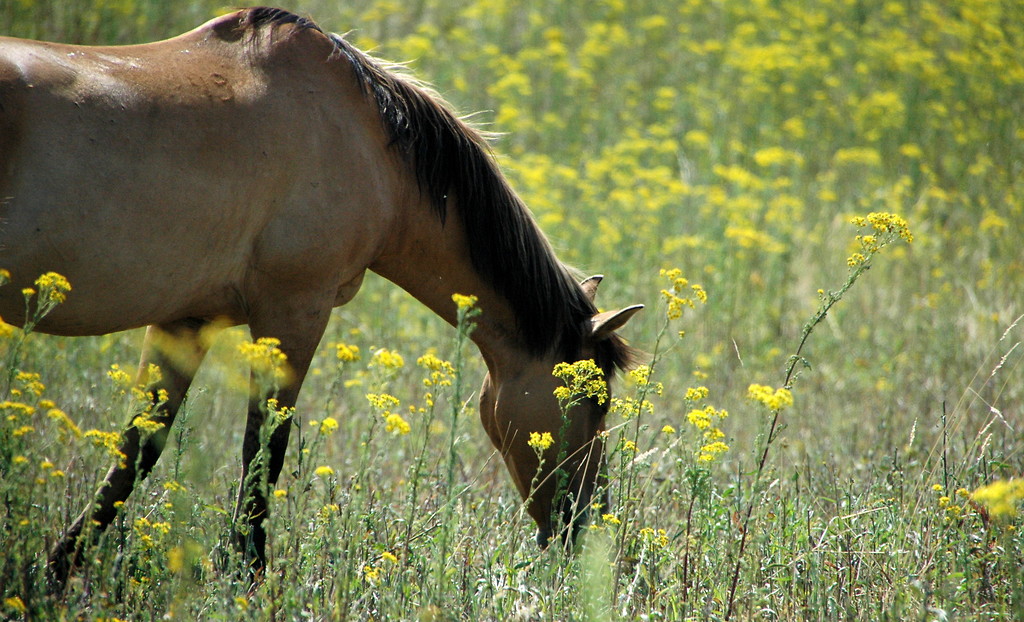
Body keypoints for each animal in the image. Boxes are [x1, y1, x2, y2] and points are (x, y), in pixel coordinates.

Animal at [0, 7, 638, 586]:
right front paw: (250, 579)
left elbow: (137, 449)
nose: (585, 529)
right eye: (593, 399)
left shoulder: (186, 320)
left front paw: (55, 572)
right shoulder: (293, 312)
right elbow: (263, 452)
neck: (369, 141)